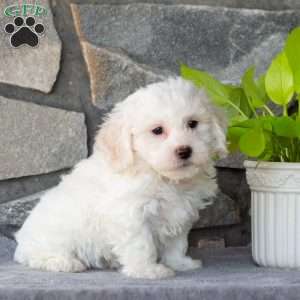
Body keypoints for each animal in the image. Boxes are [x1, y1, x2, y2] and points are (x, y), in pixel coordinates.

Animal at [12, 77, 226, 278]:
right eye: (157, 130)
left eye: (192, 123)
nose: (184, 151)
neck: (159, 175)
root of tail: (22, 241)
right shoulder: (131, 214)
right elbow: (142, 245)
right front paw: (148, 271)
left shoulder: (180, 211)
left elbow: (177, 243)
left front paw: (180, 263)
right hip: (50, 239)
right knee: (38, 256)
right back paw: (64, 263)